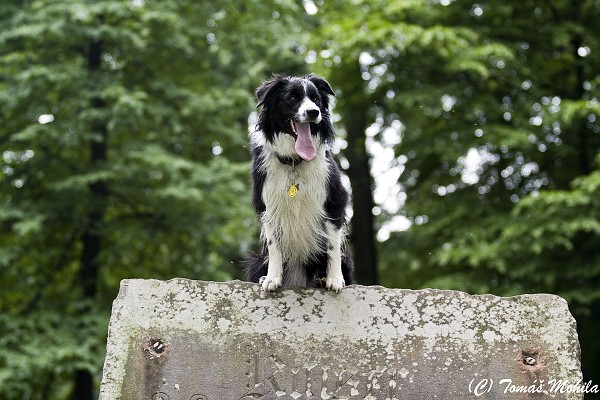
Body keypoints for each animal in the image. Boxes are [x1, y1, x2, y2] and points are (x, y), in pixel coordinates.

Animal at [245, 73, 354, 290]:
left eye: (316, 99)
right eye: (293, 98)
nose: (313, 112)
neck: (295, 161)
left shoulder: (334, 201)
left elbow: (333, 245)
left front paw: (334, 278)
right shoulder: (268, 206)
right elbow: (274, 246)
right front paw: (272, 278)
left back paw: (321, 279)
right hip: (256, 260)